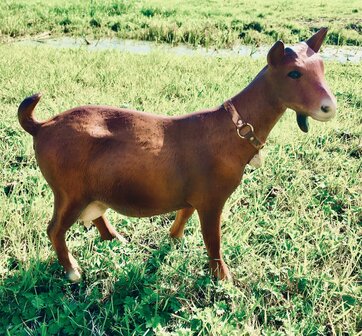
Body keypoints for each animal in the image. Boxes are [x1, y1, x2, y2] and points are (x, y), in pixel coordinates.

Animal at [18, 28, 336, 280]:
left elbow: (184, 213)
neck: (232, 129)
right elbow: (212, 239)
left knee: (96, 212)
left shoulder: (195, 192)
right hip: (68, 191)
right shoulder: (212, 198)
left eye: (322, 66)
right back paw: (73, 270)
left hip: (90, 188)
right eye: (293, 73)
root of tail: (42, 126)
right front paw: (223, 278)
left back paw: (116, 239)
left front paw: (173, 239)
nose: (329, 107)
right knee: (54, 229)